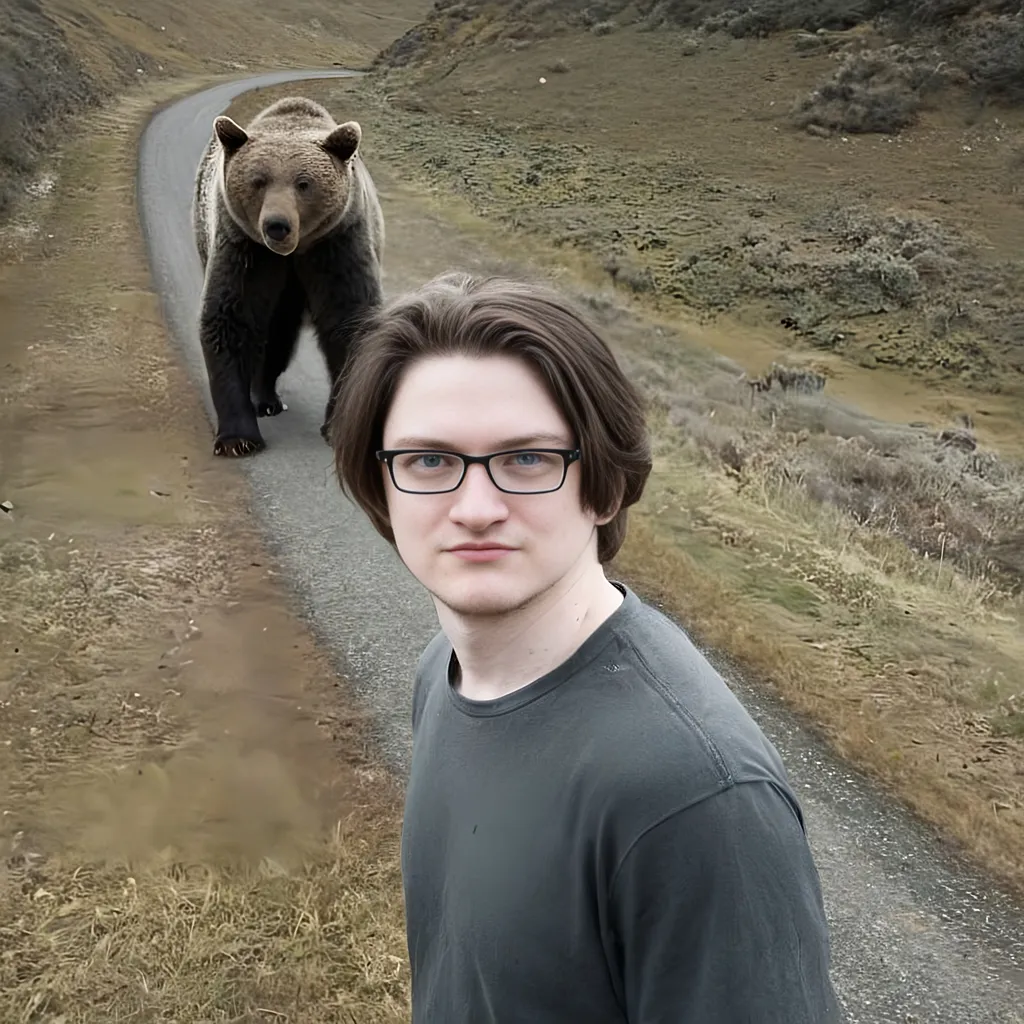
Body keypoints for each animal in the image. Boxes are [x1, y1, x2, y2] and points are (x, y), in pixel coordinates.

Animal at [192, 95, 385, 456]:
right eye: (258, 181)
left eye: (304, 183)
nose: (276, 225)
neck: (295, 252)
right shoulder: (246, 248)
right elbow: (231, 318)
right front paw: (238, 438)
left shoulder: (338, 243)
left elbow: (348, 319)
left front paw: (336, 426)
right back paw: (264, 399)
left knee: (279, 335)